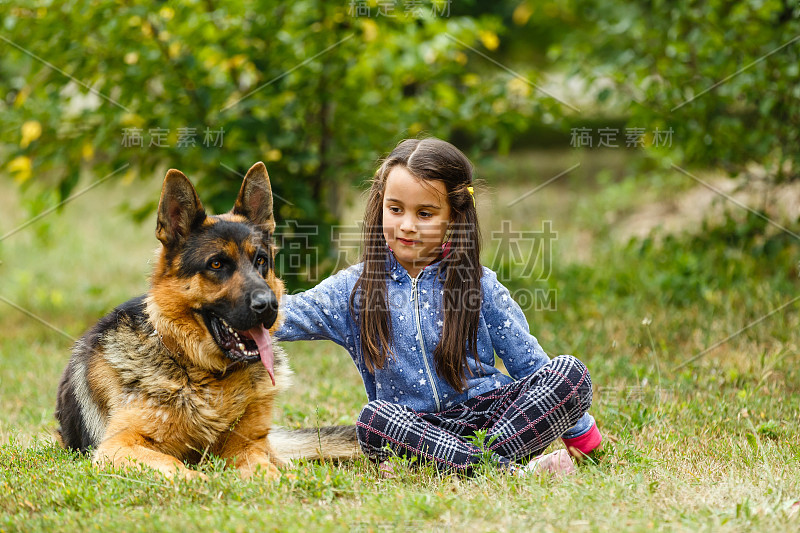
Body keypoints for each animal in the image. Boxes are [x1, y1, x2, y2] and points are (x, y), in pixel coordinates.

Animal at [53, 162, 356, 478]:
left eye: (261, 260)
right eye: (216, 264)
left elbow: (266, 471)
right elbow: (175, 466)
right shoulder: (118, 445)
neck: (202, 371)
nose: (268, 305)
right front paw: (203, 480)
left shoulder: (246, 447)